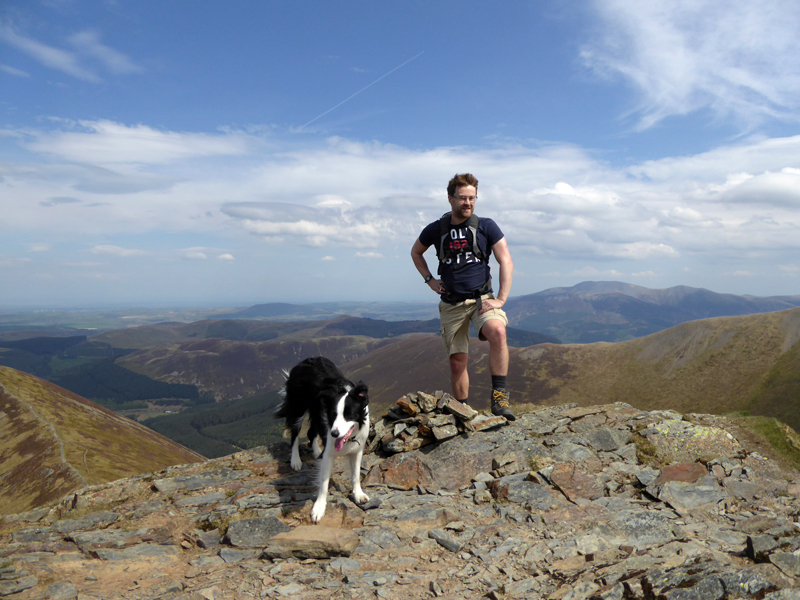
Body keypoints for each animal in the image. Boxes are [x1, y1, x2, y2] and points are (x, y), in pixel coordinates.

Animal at [276, 358, 372, 524]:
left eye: (349, 415)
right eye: (333, 415)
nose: (334, 433)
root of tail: (305, 361)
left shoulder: (357, 450)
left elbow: (355, 475)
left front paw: (358, 494)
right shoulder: (329, 453)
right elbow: (324, 482)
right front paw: (319, 509)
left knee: (311, 432)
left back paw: (315, 451)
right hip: (299, 406)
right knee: (294, 434)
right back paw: (295, 460)